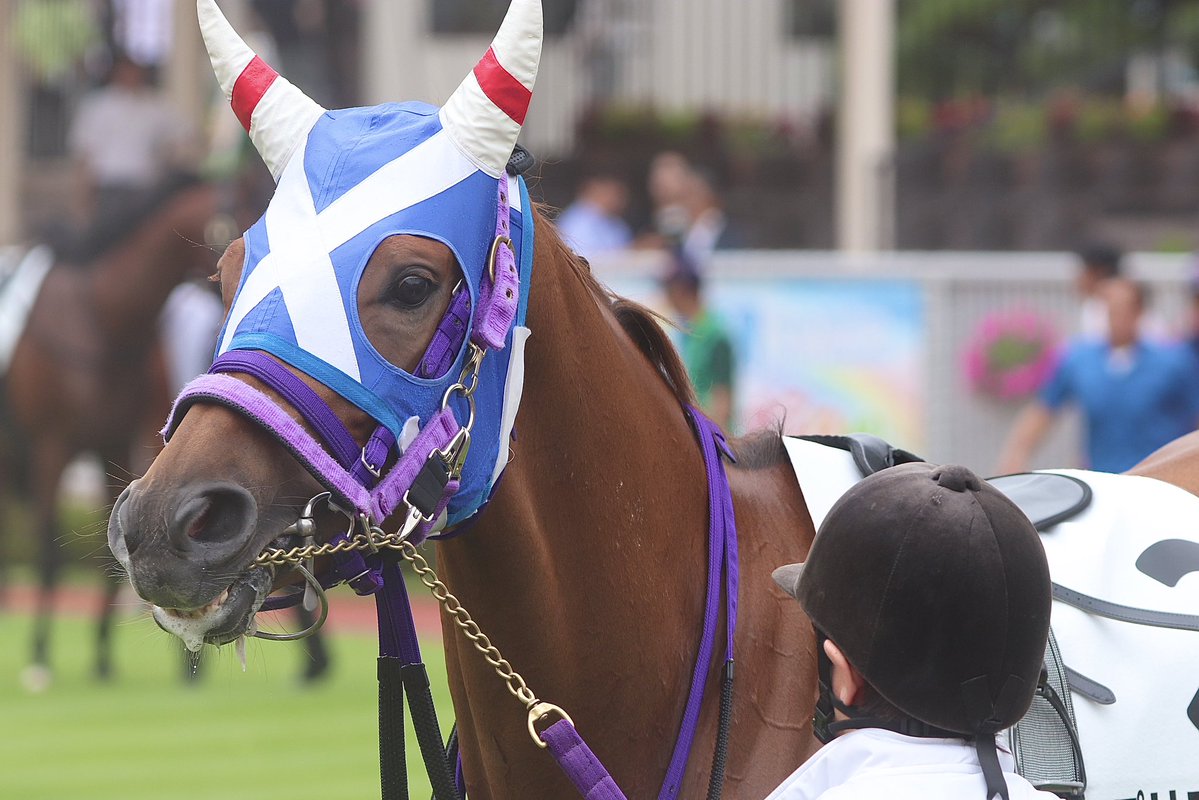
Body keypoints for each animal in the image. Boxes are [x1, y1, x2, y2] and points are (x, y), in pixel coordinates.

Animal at [2, 176, 220, 684]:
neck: (98, 317)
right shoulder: (51, 447)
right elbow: (48, 553)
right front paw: (40, 655)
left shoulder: (113, 446)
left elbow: (110, 550)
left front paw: (102, 656)